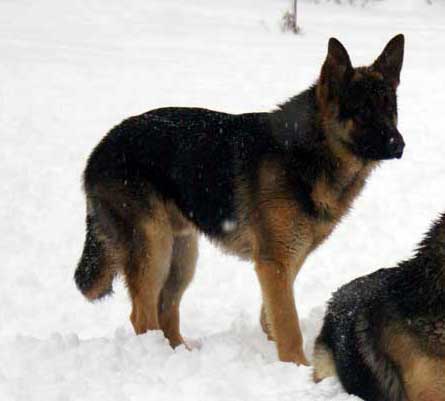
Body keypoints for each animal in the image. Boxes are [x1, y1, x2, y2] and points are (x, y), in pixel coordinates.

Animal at [75, 35, 402, 366]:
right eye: (362, 112)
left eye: (391, 110)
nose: (398, 145)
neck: (311, 150)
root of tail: (98, 151)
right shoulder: (275, 262)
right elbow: (288, 324)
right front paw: (297, 367)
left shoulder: (287, 259)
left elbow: (271, 316)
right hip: (154, 248)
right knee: (142, 317)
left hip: (182, 254)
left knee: (166, 311)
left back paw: (181, 354)